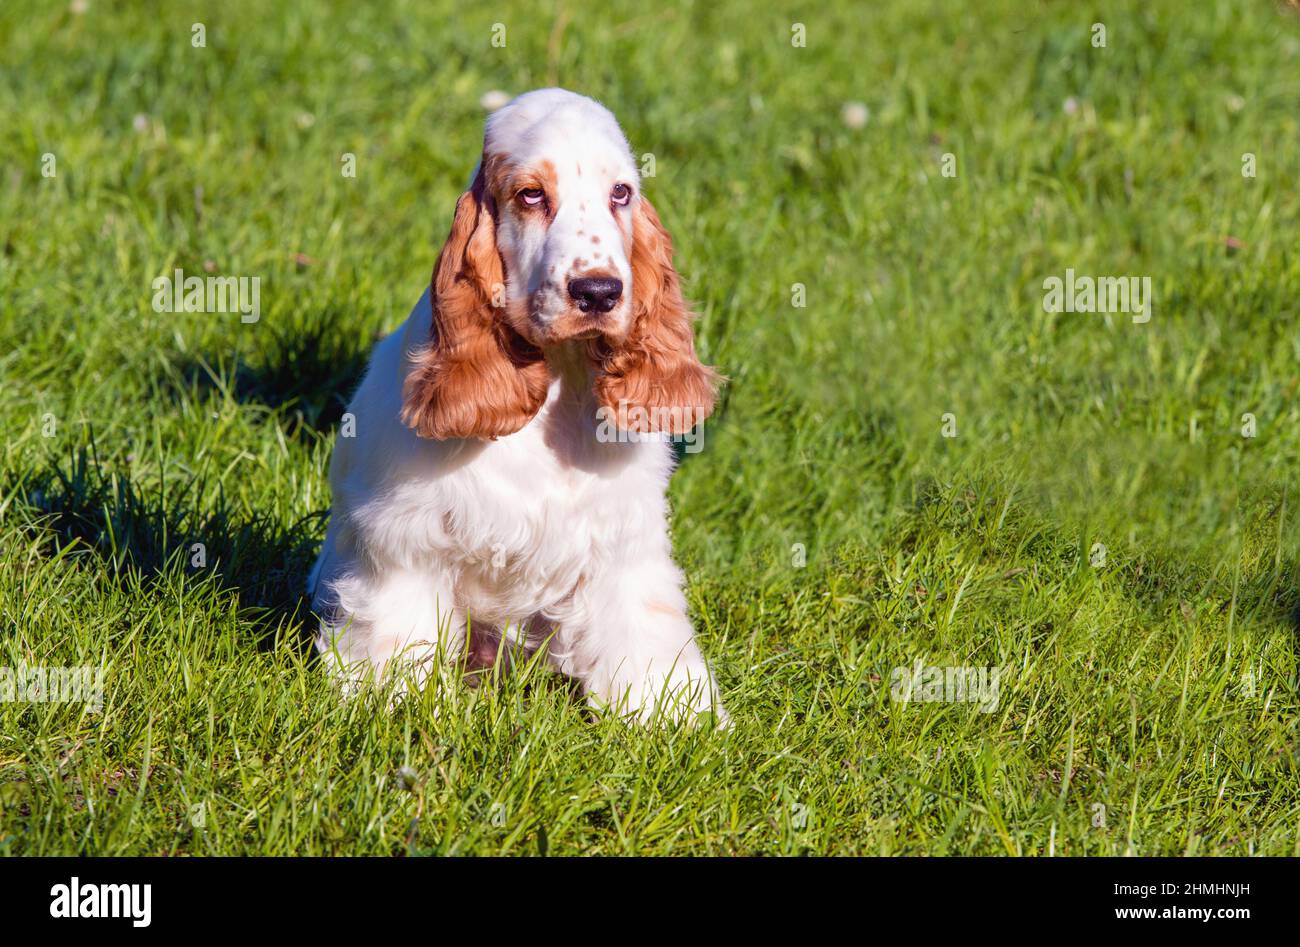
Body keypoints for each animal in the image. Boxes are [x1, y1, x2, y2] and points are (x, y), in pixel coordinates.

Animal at [309, 88, 728, 723]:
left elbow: (643, 632)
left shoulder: (621, 540)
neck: (557, 377)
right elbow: (398, 633)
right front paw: (394, 706)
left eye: (621, 194)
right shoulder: (408, 539)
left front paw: (675, 716)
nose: (599, 292)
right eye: (531, 194)